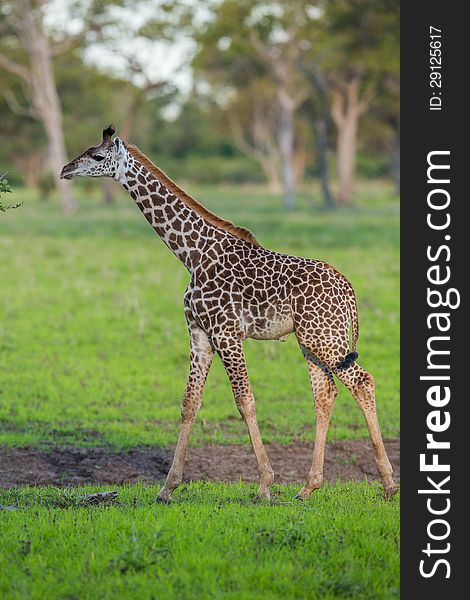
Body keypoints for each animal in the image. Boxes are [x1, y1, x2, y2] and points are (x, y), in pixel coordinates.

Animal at [59, 125, 396, 502]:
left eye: (98, 156)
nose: (65, 170)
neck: (193, 255)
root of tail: (349, 290)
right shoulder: (199, 332)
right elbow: (190, 402)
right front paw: (167, 488)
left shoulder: (227, 331)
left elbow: (244, 401)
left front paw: (265, 485)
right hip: (312, 340)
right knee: (325, 395)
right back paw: (308, 487)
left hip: (325, 338)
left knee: (362, 382)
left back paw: (387, 485)